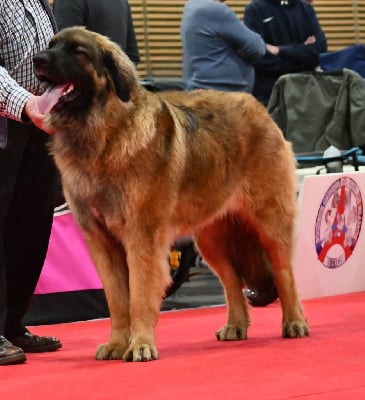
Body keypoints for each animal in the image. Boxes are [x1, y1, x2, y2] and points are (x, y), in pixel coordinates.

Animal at [32, 26, 308, 360]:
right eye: (51, 45)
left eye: (77, 51)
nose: (37, 59)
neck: (102, 133)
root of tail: (259, 107)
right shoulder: (101, 241)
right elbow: (117, 301)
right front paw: (117, 344)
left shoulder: (142, 237)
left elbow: (139, 296)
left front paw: (140, 345)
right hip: (211, 238)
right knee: (232, 282)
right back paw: (235, 325)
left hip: (269, 223)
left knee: (284, 272)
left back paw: (294, 322)